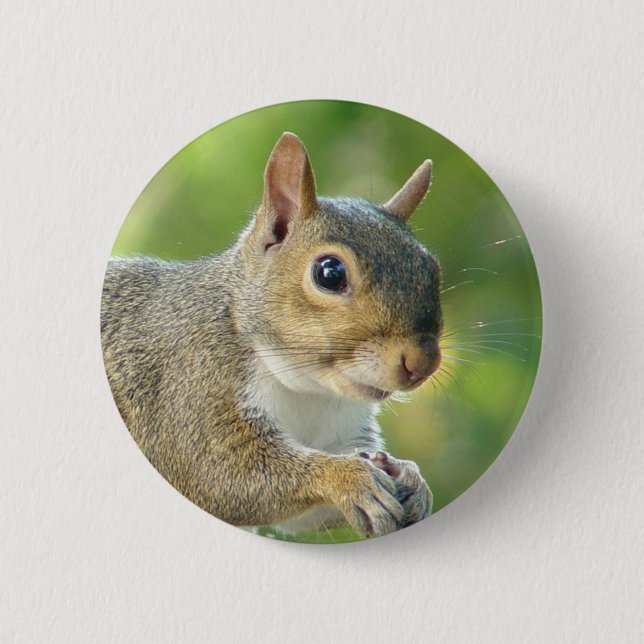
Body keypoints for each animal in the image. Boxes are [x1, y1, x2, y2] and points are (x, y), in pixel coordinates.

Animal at [101, 132, 443, 539]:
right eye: (329, 273)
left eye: (432, 268)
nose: (423, 364)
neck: (308, 391)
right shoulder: (190, 389)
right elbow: (219, 473)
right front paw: (348, 478)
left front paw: (411, 478)